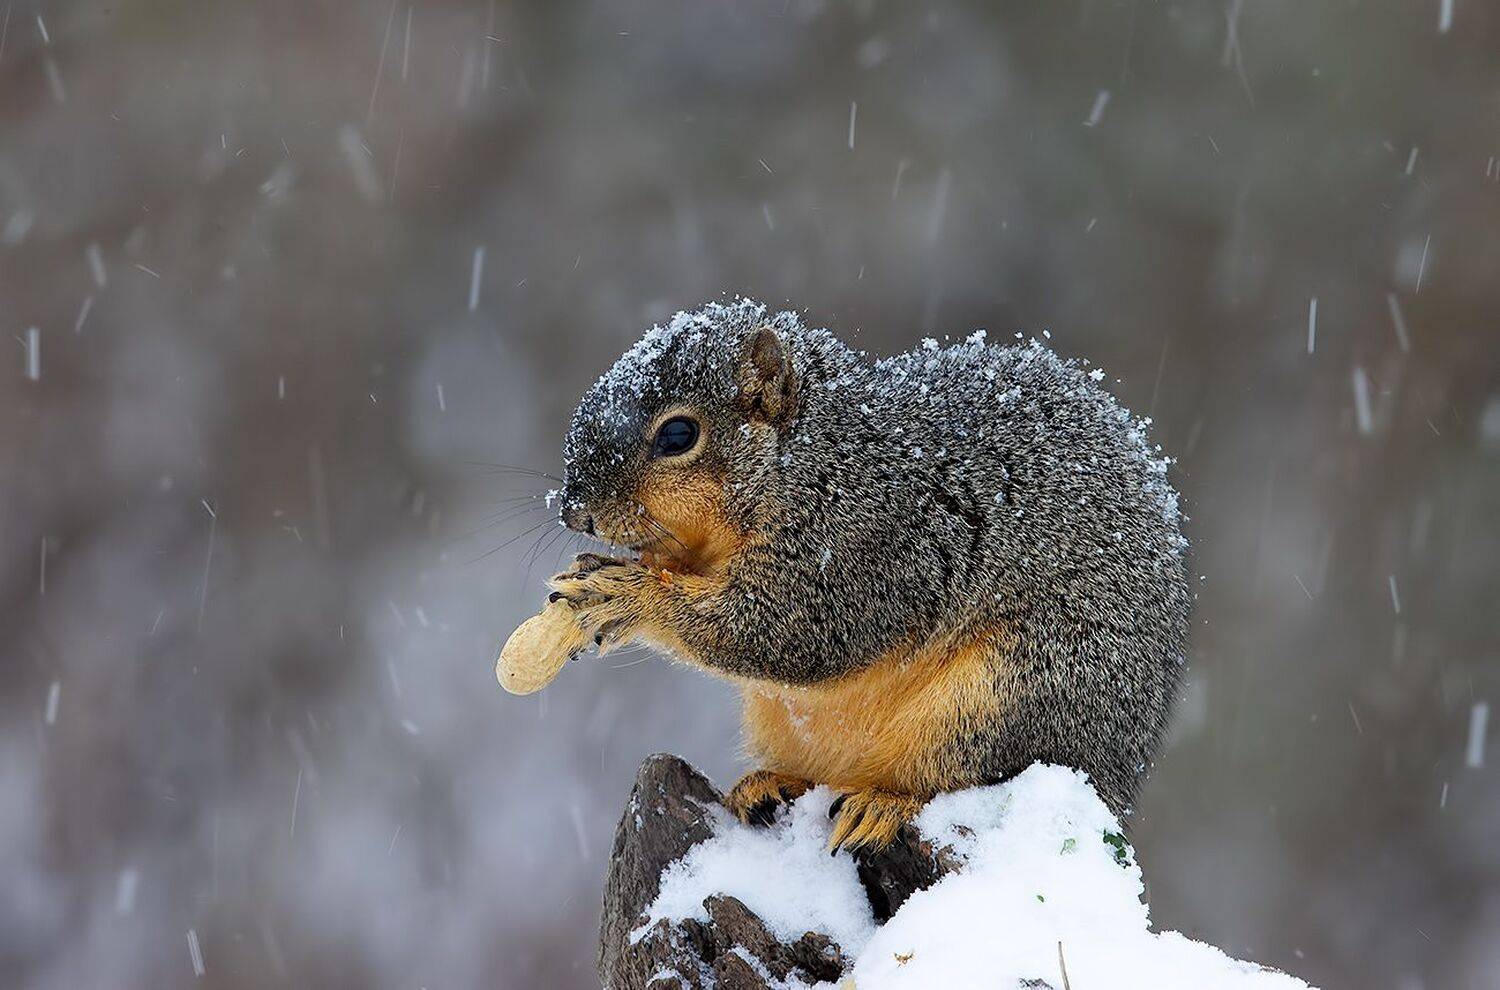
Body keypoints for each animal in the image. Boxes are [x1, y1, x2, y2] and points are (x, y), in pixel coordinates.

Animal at [547, 298, 1190, 852]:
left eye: (678, 434)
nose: (572, 510)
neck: (811, 455)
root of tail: (1114, 786)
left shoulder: (865, 543)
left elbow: (787, 630)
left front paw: (624, 596)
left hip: (1014, 696)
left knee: (960, 778)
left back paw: (883, 804)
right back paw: (774, 785)